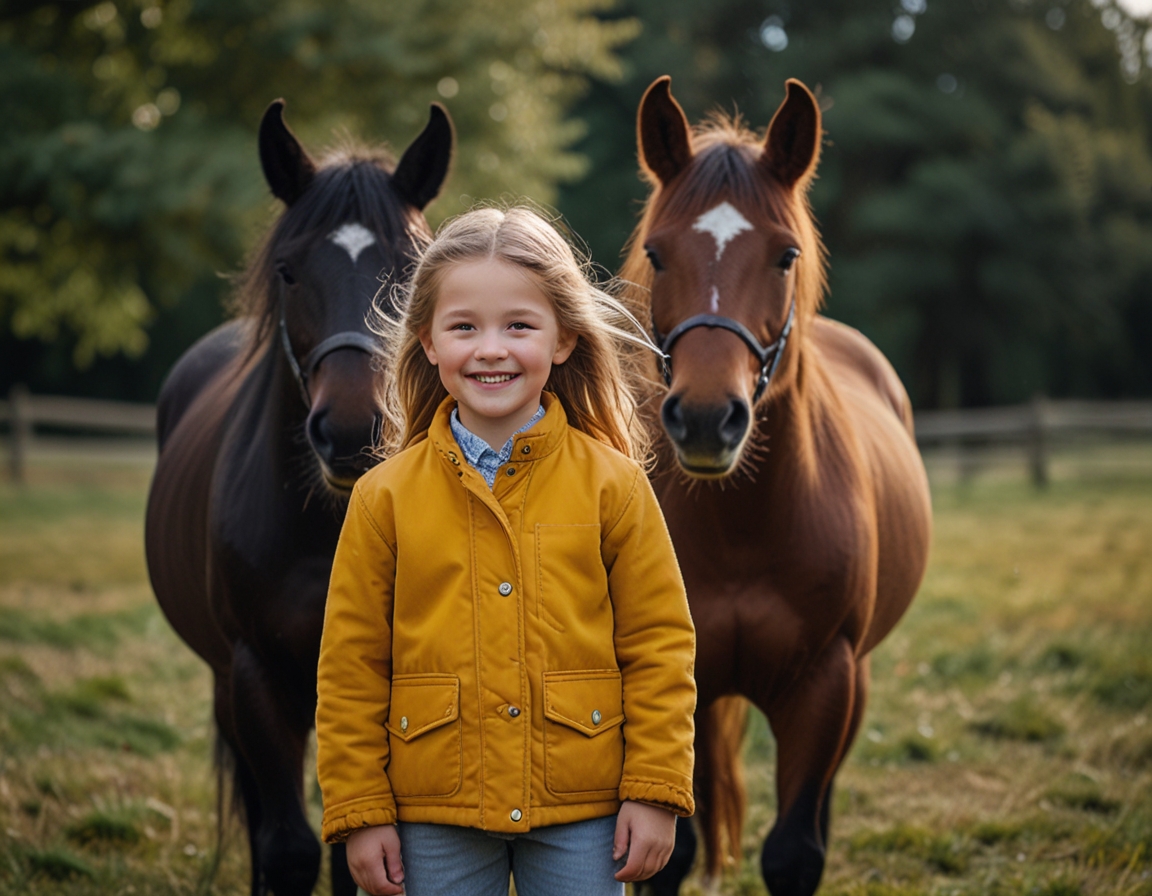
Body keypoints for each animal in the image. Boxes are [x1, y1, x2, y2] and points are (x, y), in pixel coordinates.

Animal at [144, 99, 452, 896]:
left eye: (412, 270)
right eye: (288, 271)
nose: (350, 431)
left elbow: (356, 856)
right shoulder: (257, 674)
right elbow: (286, 846)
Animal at [620, 77, 933, 896]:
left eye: (785, 254)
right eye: (657, 254)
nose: (706, 418)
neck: (743, 528)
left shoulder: (824, 685)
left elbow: (795, 851)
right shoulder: (682, 681)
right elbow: (670, 853)